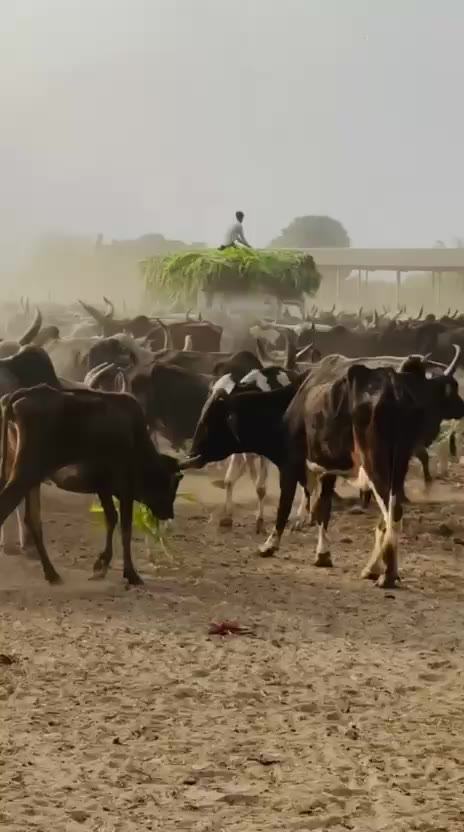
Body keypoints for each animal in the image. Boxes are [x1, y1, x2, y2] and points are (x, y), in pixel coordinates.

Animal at [0, 385, 182, 585]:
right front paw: (131, 573)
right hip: (26, 473)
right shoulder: (125, 489)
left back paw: (51, 573)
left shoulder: (104, 488)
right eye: (171, 486)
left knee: (32, 520)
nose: (169, 514)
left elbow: (111, 519)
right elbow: (125, 529)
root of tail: (27, 392)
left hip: (28, 476)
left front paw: (101, 564)